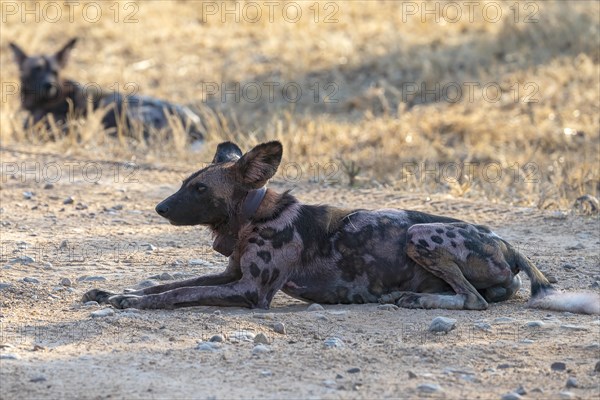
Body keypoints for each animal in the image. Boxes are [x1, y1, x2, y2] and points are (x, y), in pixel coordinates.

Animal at [83, 141, 600, 316]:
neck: (255, 215)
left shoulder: (250, 292)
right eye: (184, 184)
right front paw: (114, 293)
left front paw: (132, 302)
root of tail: (508, 244)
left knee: (475, 301)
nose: (159, 207)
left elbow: (177, 293)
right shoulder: (232, 276)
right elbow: (166, 283)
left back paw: (416, 300)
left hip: (419, 234)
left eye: (199, 189)